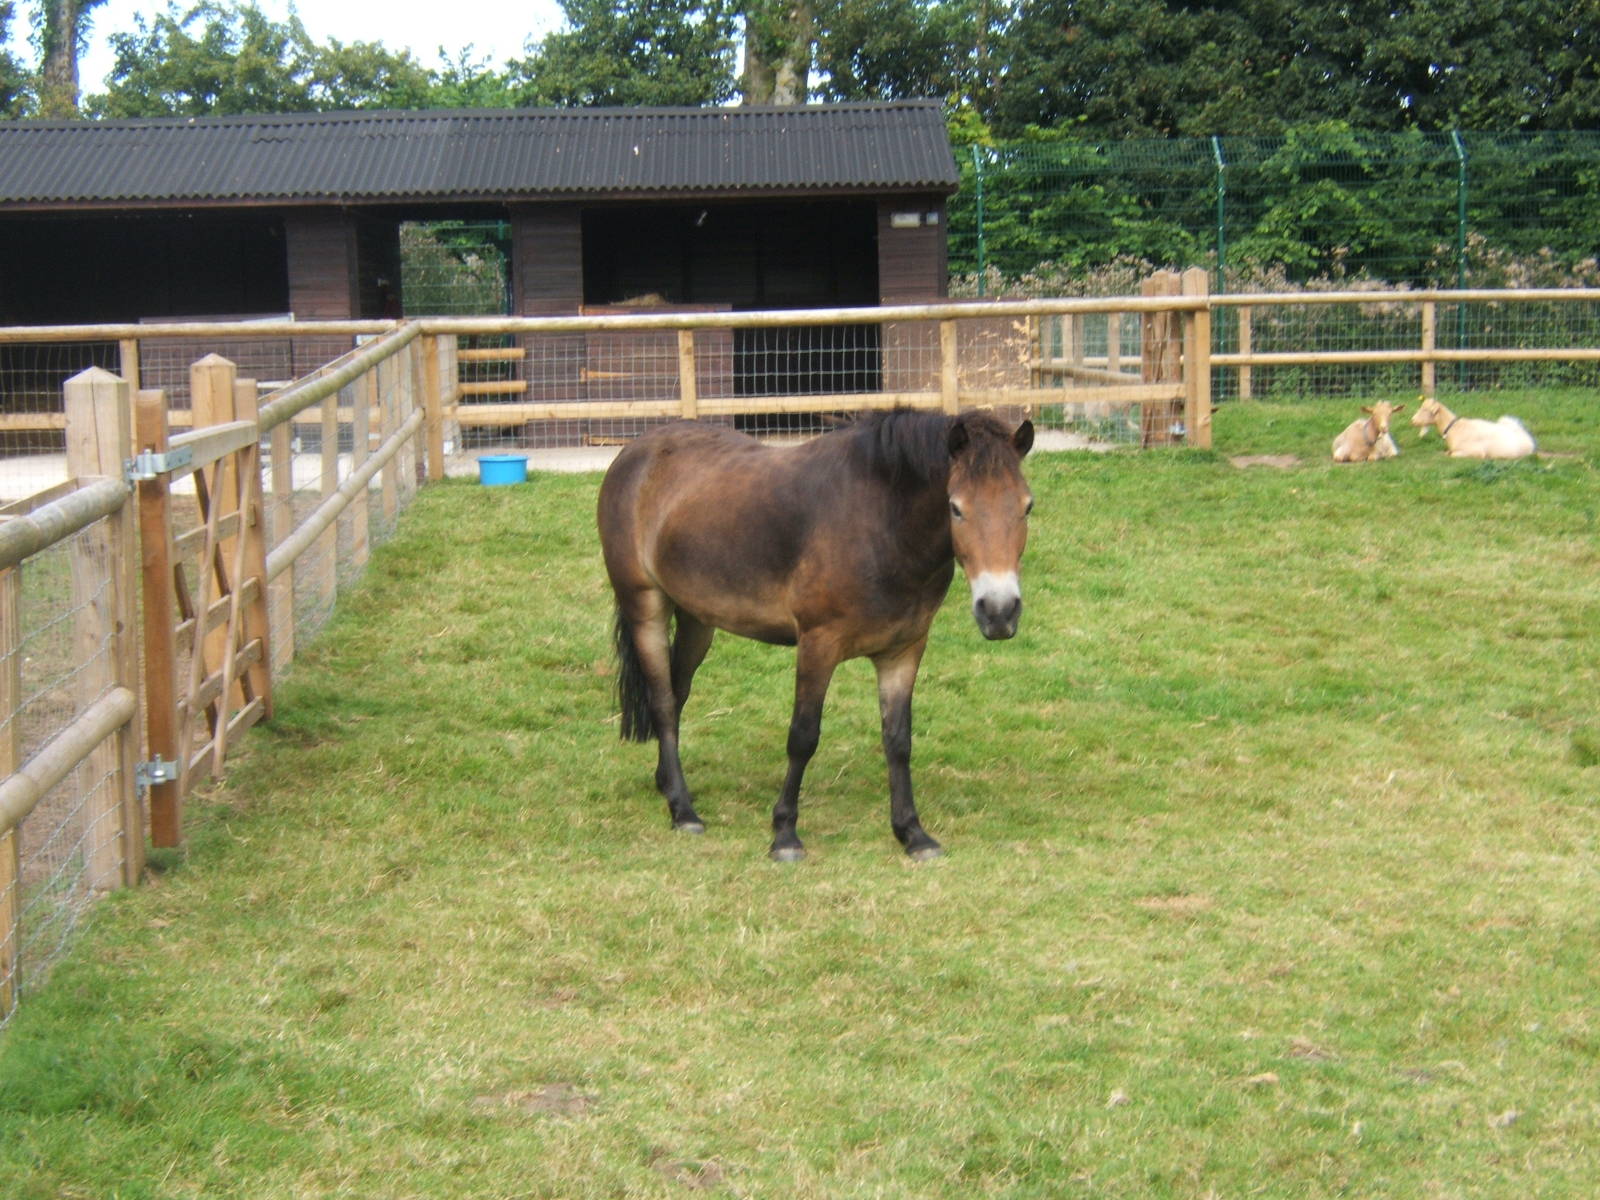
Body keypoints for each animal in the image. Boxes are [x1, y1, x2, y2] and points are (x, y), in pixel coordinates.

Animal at [597, 408, 1035, 861]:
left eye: (1027, 507)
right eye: (955, 508)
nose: (999, 610)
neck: (881, 522)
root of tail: (636, 452)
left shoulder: (904, 650)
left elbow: (898, 740)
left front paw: (912, 833)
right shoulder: (817, 645)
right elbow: (803, 736)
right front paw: (785, 834)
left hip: (697, 618)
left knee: (678, 691)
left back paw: (667, 783)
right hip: (646, 608)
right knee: (664, 702)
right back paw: (683, 810)